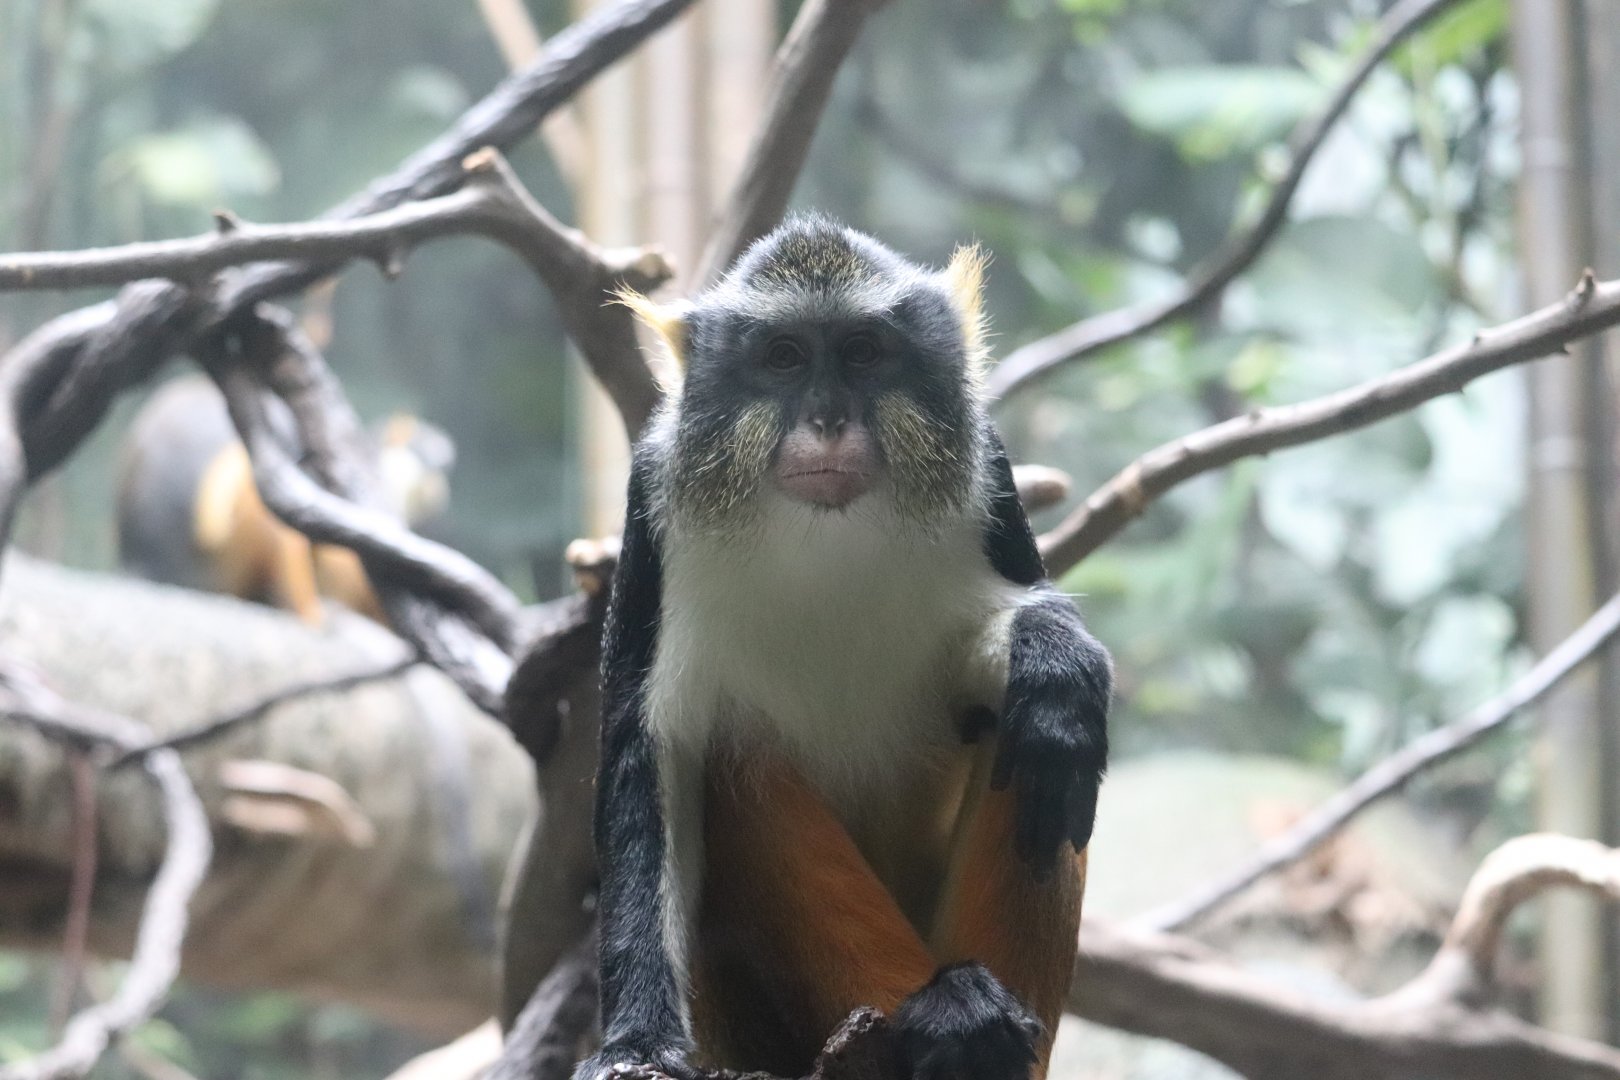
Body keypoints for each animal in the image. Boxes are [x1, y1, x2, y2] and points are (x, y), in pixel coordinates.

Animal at [575, 216, 1111, 1080]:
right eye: (784, 356)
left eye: (862, 351)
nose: (827, 421)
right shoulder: (651, 506)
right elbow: (649, 755)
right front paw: (635, 1046)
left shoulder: (988, 469)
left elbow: (1023, 670)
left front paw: (1055, 660)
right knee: (739, 757)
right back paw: (947, 1015)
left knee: (1032, 745)